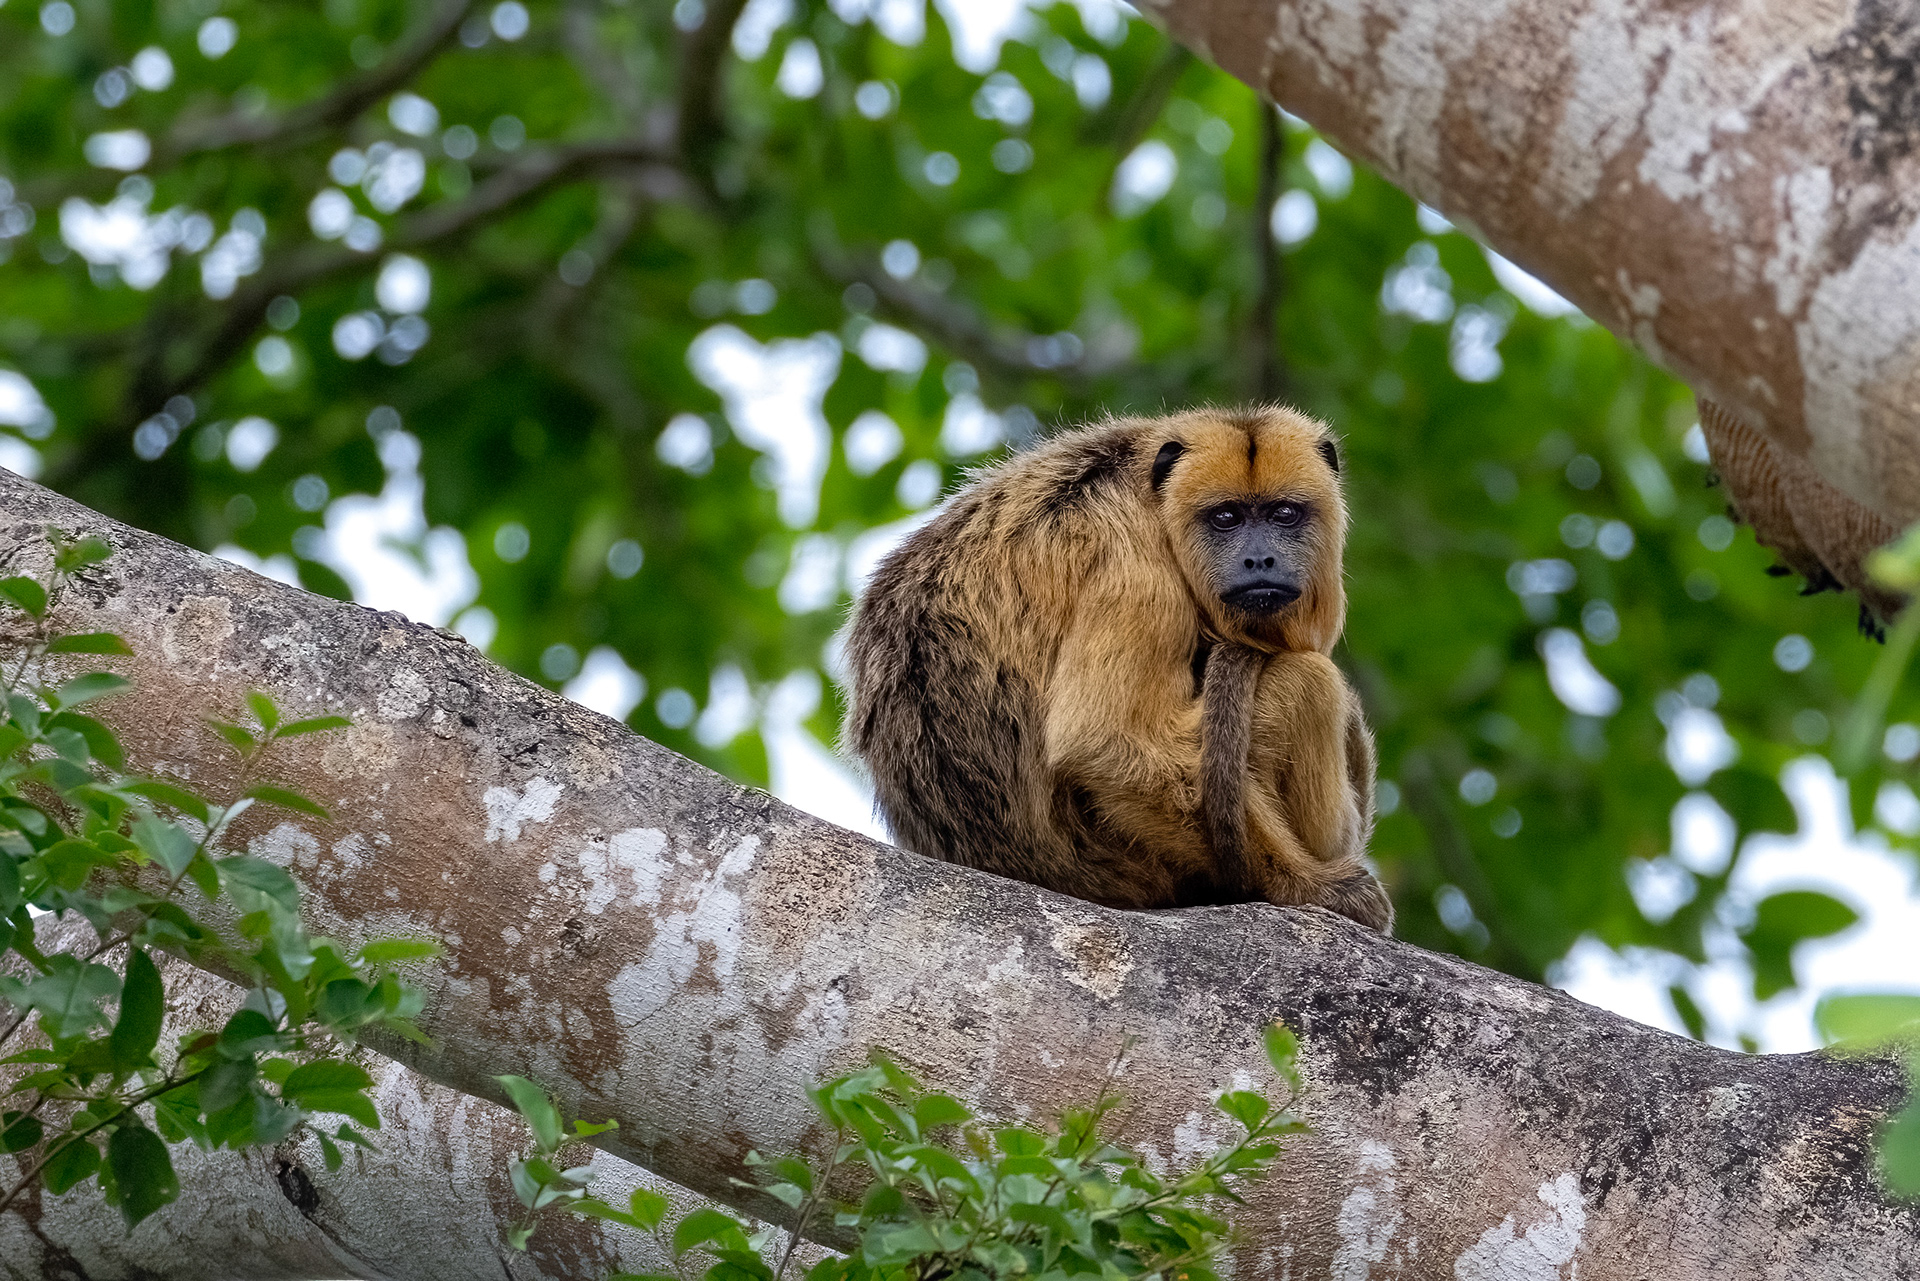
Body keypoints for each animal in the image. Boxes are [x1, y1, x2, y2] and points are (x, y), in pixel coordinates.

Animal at [844, 405, 1391, 932]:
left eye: (1284, 514)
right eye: (1226, 518)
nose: (1260, 560)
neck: (1154, 500)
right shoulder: (1134, 570)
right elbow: (1102, 743)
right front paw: (1307, 886)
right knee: (1309, 681)